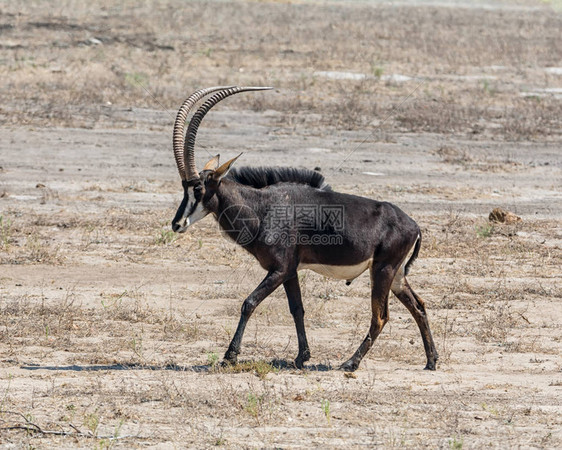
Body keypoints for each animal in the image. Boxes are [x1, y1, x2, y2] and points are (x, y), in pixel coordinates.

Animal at [171, 86, 438, 370]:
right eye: (184, 187)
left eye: (199, 189)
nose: (177, 224)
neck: (262, 207)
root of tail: (414, 225)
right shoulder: (290, 272)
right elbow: (297, 309)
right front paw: (302, 357)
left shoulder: (279, 269)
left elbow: (248, 302)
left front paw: (230, 356)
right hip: (396, 275)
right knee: (418, 306)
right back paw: (431, 360)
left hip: (382, 271)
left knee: (380, 317)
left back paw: (350, 363)